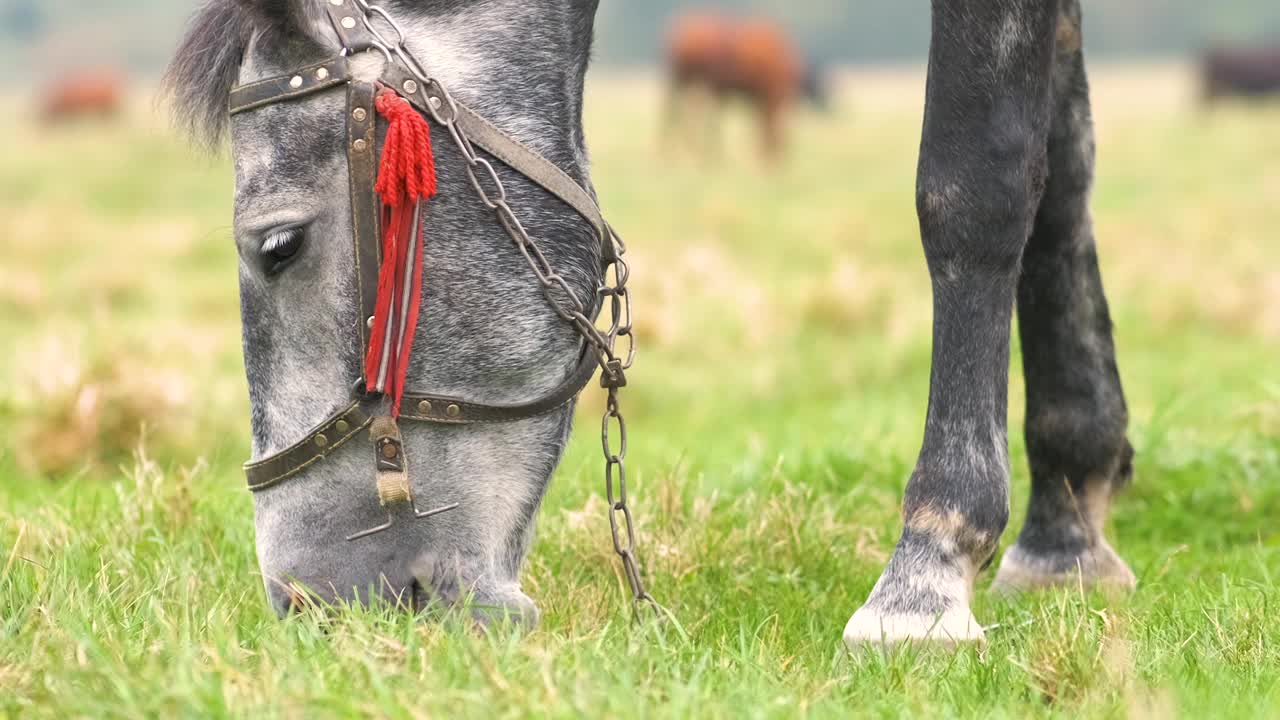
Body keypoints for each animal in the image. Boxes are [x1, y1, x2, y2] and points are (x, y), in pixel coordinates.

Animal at [660, 13, 829, 161]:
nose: (775, 162)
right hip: (681, 78)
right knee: (675, 112)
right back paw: (672, 154)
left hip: (691, 82)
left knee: (689, 113)